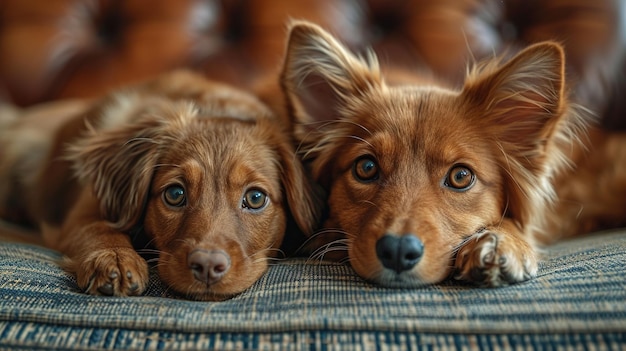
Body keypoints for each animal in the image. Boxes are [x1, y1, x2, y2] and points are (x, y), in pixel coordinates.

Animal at [0, 71, 320, 300]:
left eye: (255, 198)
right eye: (175, 194)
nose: (207, 267)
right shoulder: (81, 213)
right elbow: (97, 228)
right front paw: (114, 258)